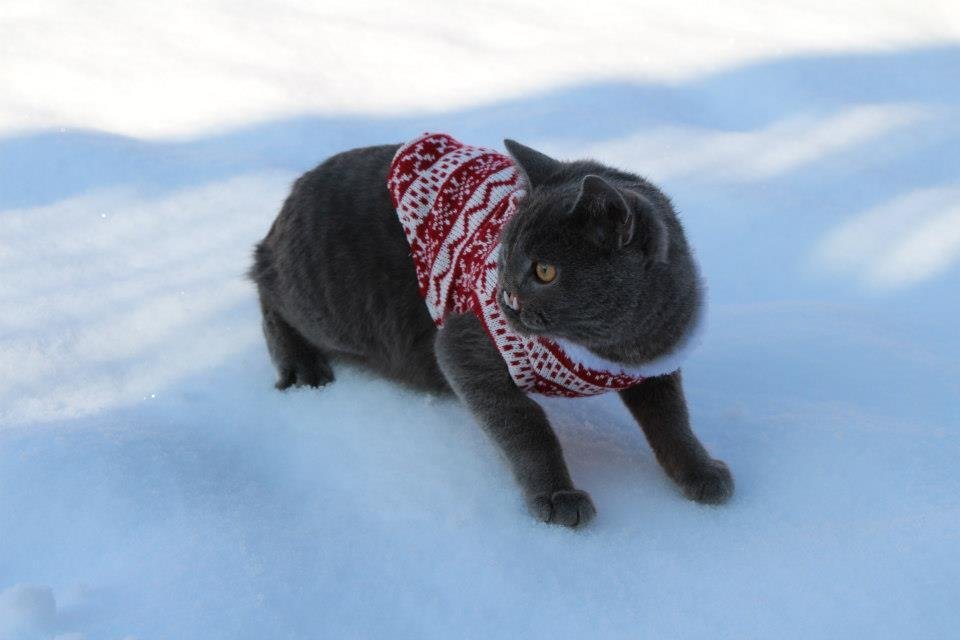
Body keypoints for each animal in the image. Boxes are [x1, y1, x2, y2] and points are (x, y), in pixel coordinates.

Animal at [249, 132, 736, 528]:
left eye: (544, 270)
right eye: (501, 256)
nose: (504, 297)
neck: (610, 349)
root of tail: (296, 188)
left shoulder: (657, 361)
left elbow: (671, 419)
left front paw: (700, 472)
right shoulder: (465, 348)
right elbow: (526, 426)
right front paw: (557, 496)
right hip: (327, 301)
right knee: (266, 284)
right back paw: (302, 367)